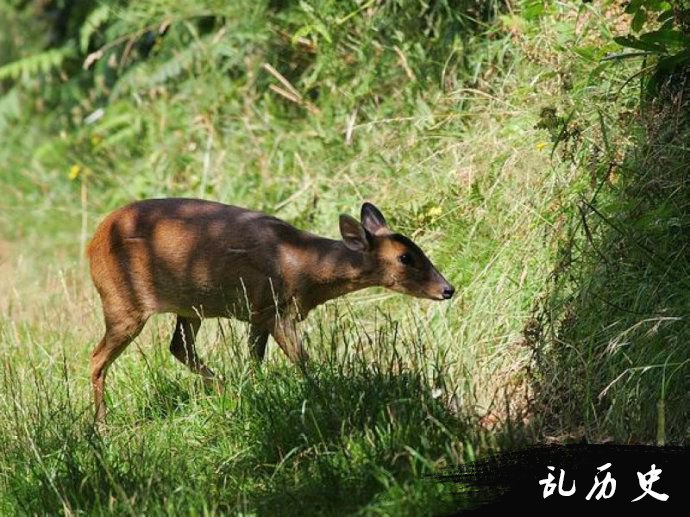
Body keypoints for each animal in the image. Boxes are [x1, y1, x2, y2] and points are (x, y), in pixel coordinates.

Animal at [87, 198, 452, 420]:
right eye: (405, 257)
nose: (448, 289)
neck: (304, 266)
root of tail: (91, 244)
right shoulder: (277, 308)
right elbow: (302, 359)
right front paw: (324, 392)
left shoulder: (259, 312)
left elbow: (254, 359)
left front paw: (256, 392)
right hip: (122, 302)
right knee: (96, 357)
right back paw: (101, 426)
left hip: (189, 307)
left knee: (179, 347)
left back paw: (227, 392)